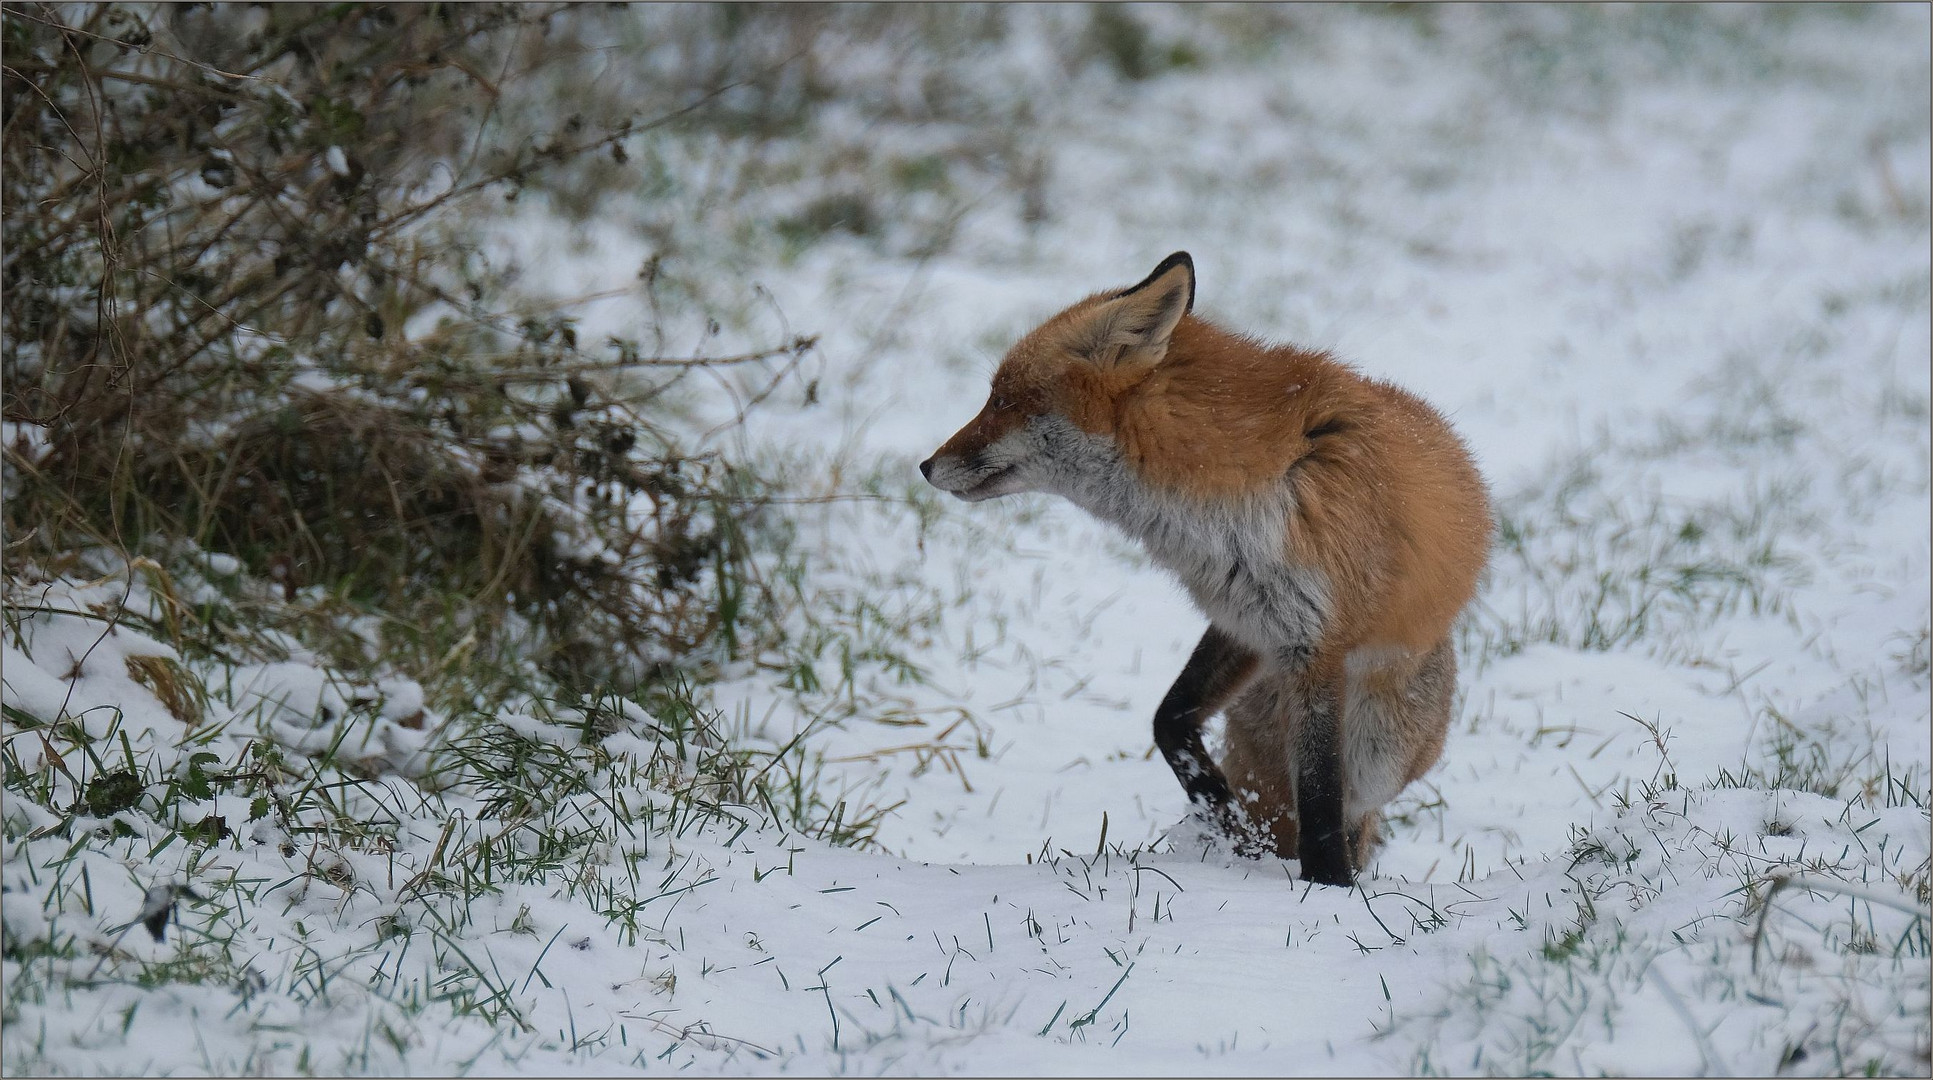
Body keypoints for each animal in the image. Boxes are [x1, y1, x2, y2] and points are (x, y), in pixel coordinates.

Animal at [920, 253, 1492, 888]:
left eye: (1001, 401)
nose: (925, 466)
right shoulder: (1247, 618)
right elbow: (1170, 722)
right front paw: (1224, 818)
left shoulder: (1316, 644)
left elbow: (1320, 803)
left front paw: (1328, 889)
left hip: (1379, 744)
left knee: (1355, 810)